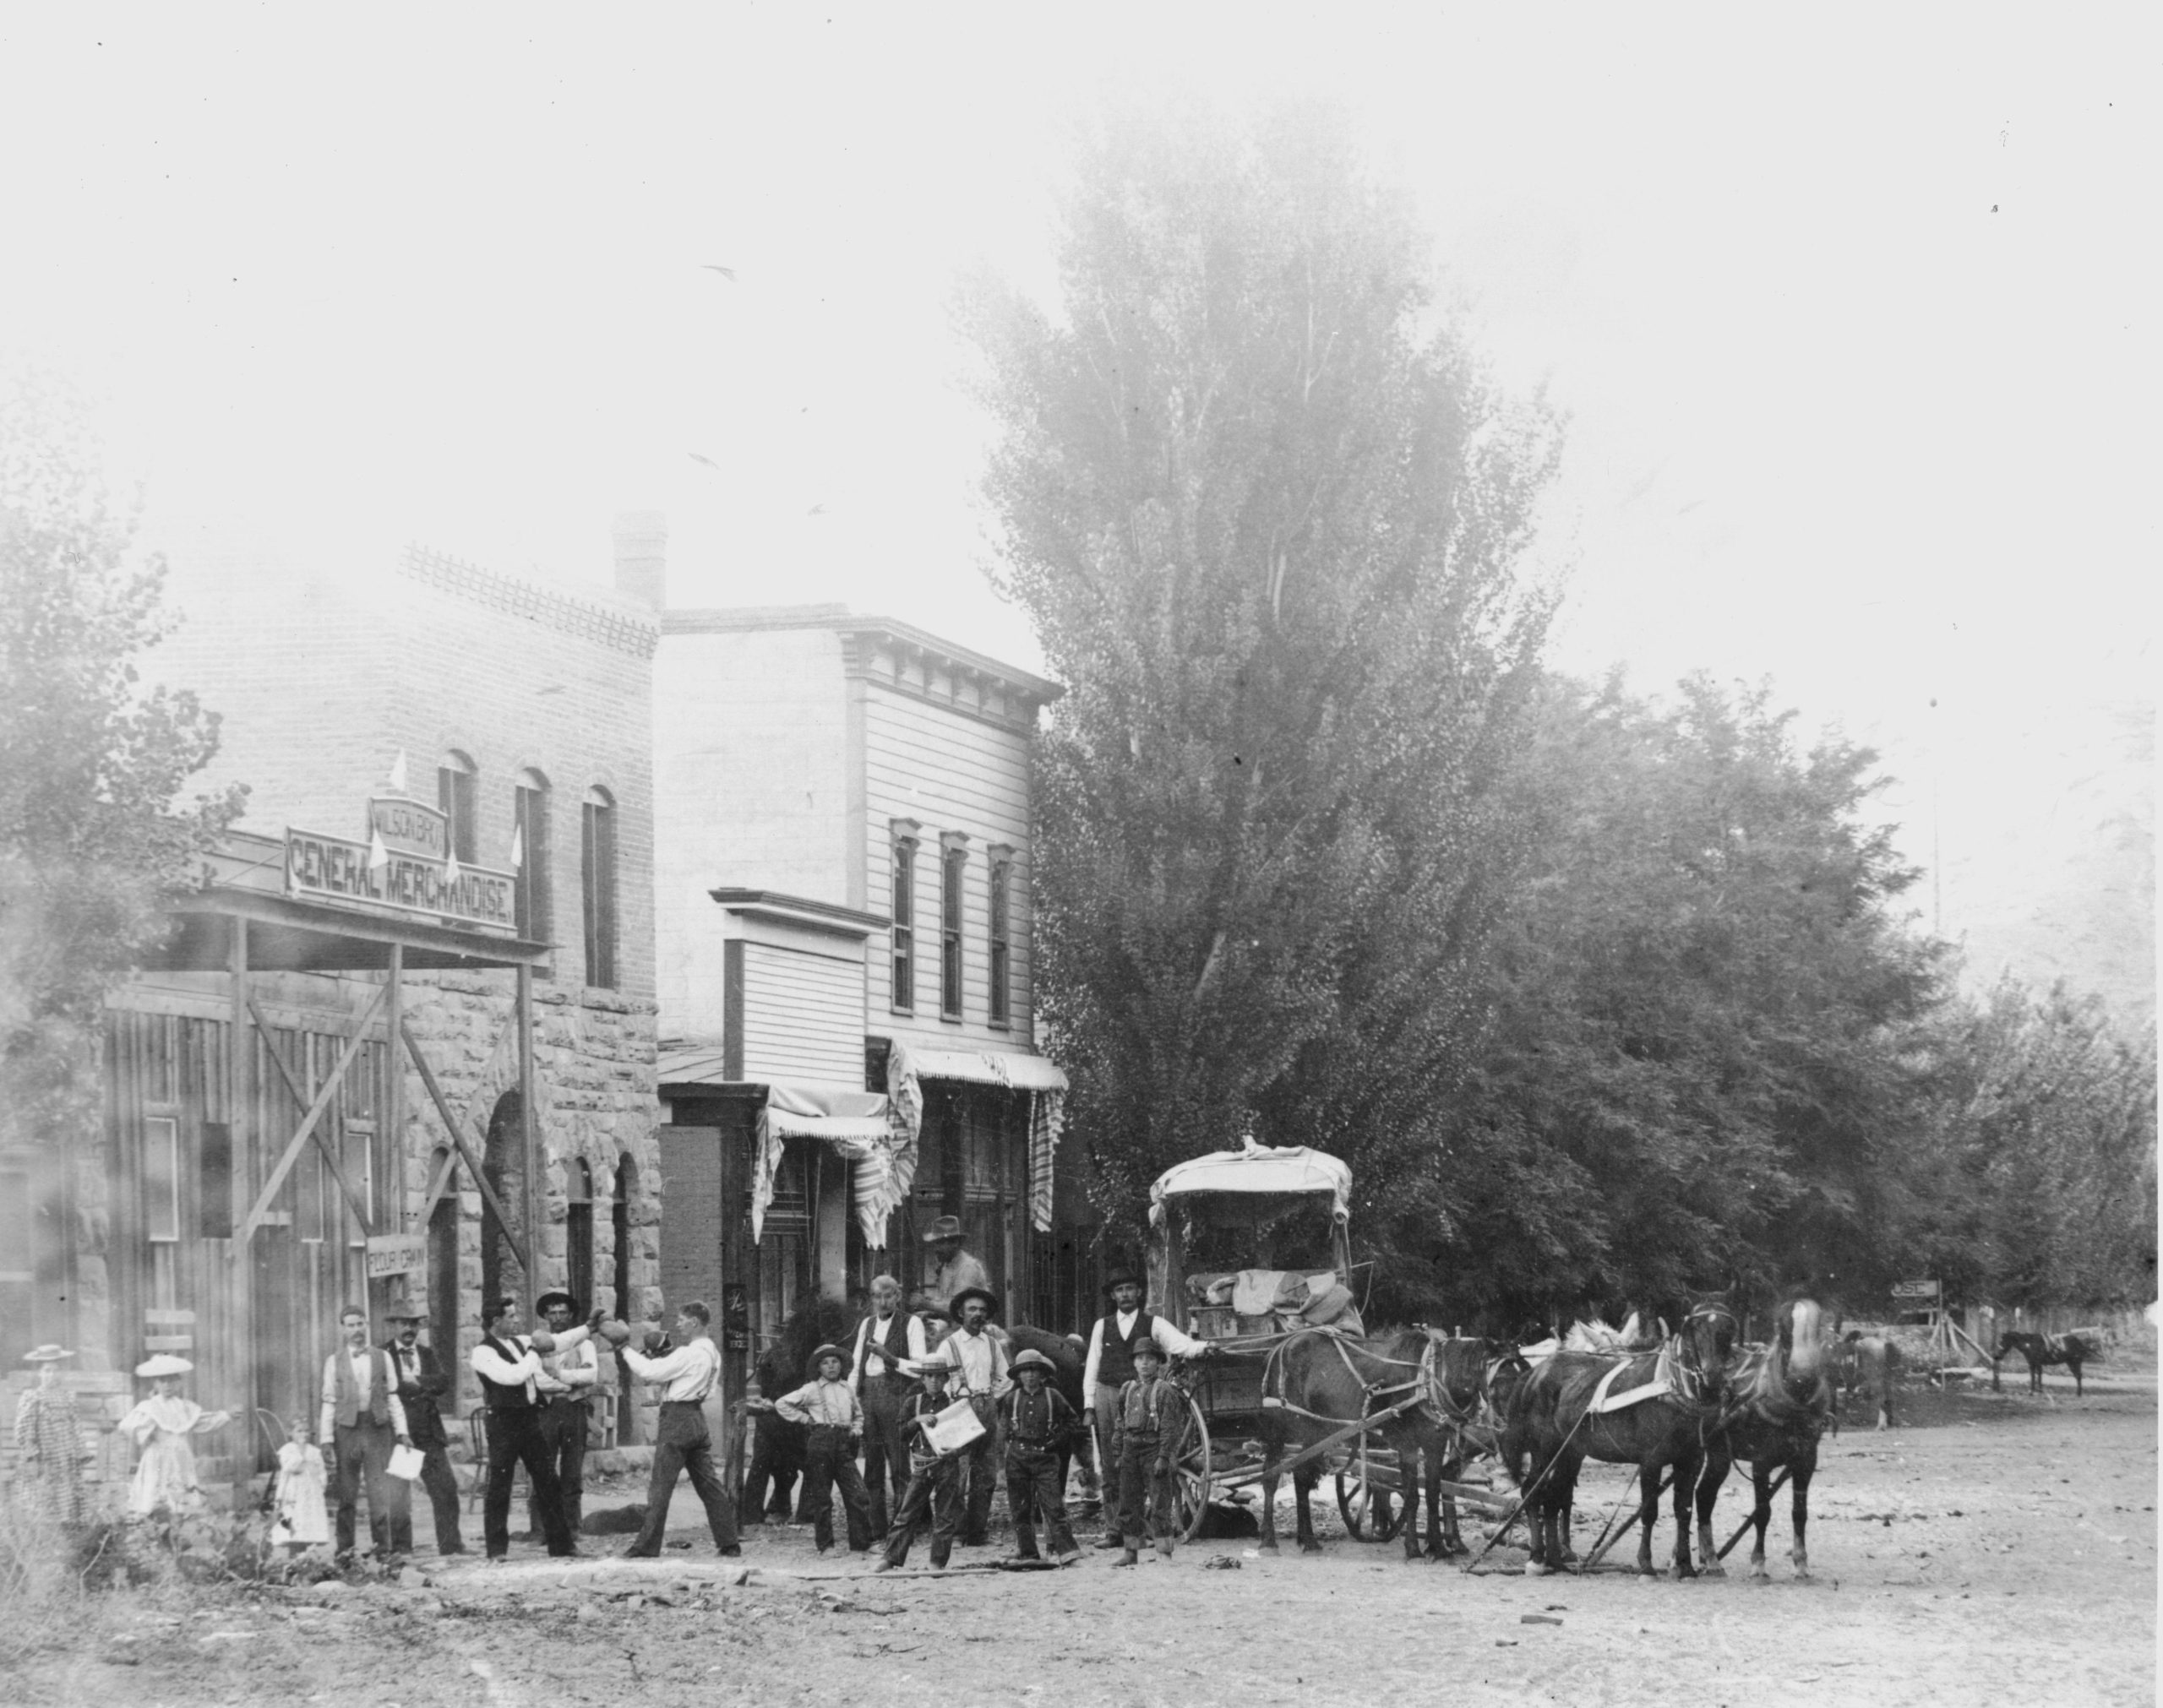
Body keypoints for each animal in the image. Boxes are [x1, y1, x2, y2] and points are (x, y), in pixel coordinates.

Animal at [1263, 1331, 1445, 1574]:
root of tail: (1280, 1346)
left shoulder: (1436, 1443)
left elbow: (1433, 1494)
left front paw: (1438, 1550)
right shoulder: (1408, 1444)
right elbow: (1413, 1496)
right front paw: (1415, 1551)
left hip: (1315, 1433)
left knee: (1302, 1477)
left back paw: (1308, 1541)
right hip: (1278, 1429)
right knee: (1271, 1477)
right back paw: (1268, 1541)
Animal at [1505, 1305, 1739, 1582]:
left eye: (1726, 1331)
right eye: (1696, 1329)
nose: (1713, 1376)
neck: (1673, 1387)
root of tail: (1536, 1371)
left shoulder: (1690, 1461)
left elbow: (1684, 1511)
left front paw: (1686, 1567)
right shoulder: (1651, 1461)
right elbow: (1649, 1511)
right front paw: (1646, 1566)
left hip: (1569, 1453)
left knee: (1553, 1497)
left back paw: (1556, 1560)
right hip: (1545, 1449)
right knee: (1532, 1491)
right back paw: (1537, 1559)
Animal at [1696, 1305, 1833, 1582]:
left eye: (1817, 1330)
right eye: (1786, 1334)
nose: (1803, 1375)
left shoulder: (1805, 1462)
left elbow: (1799, 1513)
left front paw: (1801, 1564)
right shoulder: (1761, 1463)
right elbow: (1762, 1513)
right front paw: (1758, 1563)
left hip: (1719, 1455)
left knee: (1704, 1495)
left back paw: (1708, 1559)